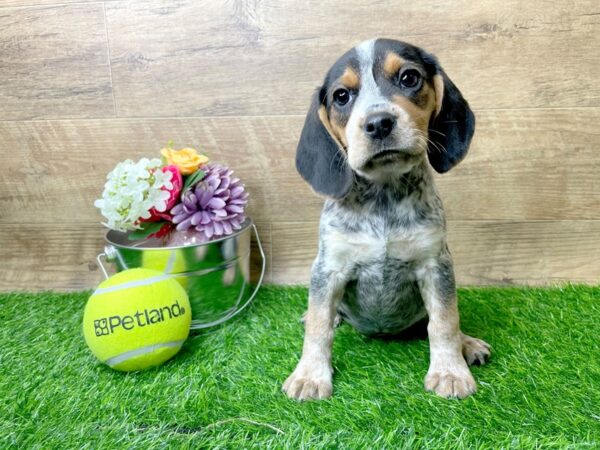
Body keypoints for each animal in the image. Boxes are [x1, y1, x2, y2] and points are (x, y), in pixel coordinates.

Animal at [284, 38, 490, 400]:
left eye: (409, 78)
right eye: (341, 96)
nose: (379, 123)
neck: (384, 196)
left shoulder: (436, 265)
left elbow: (445, 321)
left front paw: (450, 371)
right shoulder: (329, 267)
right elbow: (319, 327)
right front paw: (310, 375)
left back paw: (468, 344)